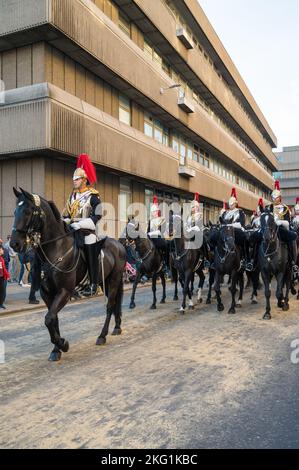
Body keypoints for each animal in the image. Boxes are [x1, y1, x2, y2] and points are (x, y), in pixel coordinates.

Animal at [10, 187, 126, 360]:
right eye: (15, 211)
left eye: (28, 211)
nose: (14, 244)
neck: (56, 248)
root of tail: (119, 245)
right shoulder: (47, 293)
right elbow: (53, 319)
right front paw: (56, 350)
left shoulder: (65, 291)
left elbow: (49, 318)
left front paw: (63, 344)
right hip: (103, 281)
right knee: (114, 304)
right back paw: (116, 327)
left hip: (113, 281)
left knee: (110, 306)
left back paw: (102, 336)